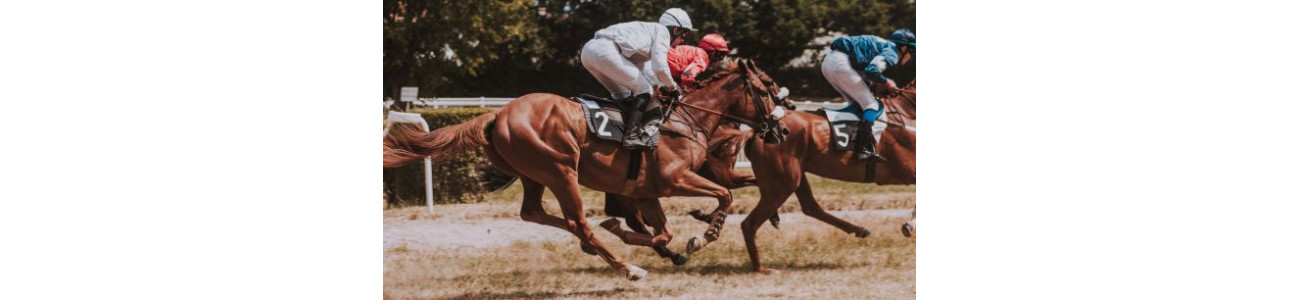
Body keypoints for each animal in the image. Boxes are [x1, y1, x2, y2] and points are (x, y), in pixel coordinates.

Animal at [384, 59, 785, 281]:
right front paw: (703, 235)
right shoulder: (675, 180)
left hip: (536, 174)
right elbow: (724, 195)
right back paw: (628, 268)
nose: (781, 129)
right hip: (561, 170)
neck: (688, 120)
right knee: (578, 221)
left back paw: (602, 247)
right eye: (767, 89)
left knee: (534, 212)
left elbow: (663, 232)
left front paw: (647, 237)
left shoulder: (646, 192)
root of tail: (498, 114)